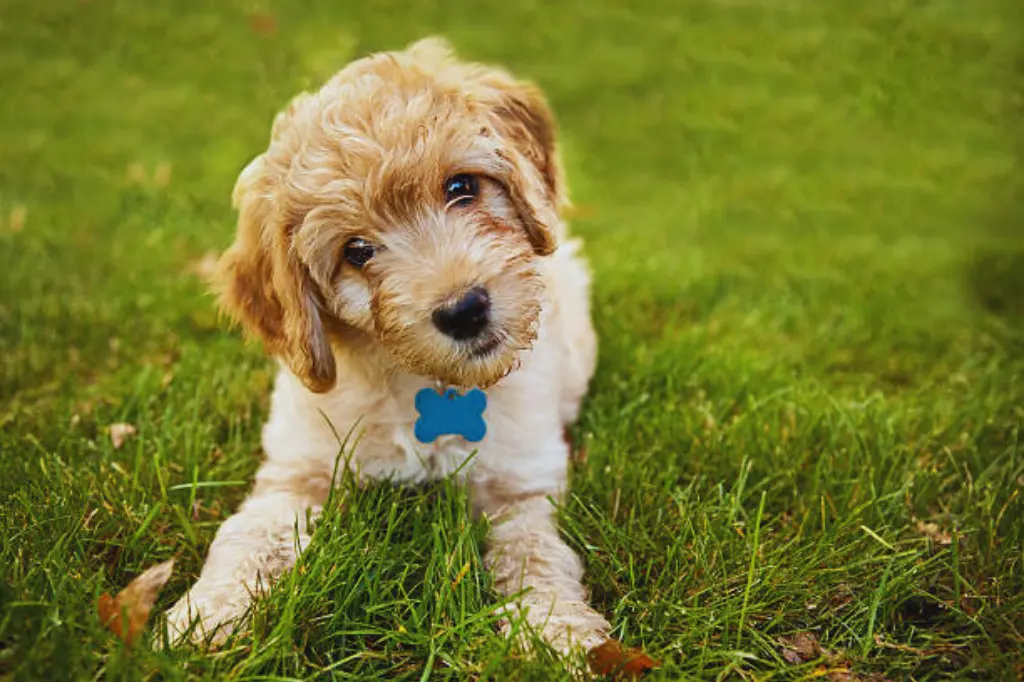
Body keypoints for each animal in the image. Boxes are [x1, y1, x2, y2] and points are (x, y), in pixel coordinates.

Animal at [164, 37, 610, 655]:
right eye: (356, 251)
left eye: (461, 187)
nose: (464, 310)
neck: (426, 382)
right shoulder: (298, 468)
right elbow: (249, 532)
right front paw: (204, 613)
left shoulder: (520, 484)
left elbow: (536, 554)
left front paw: (557, 632)